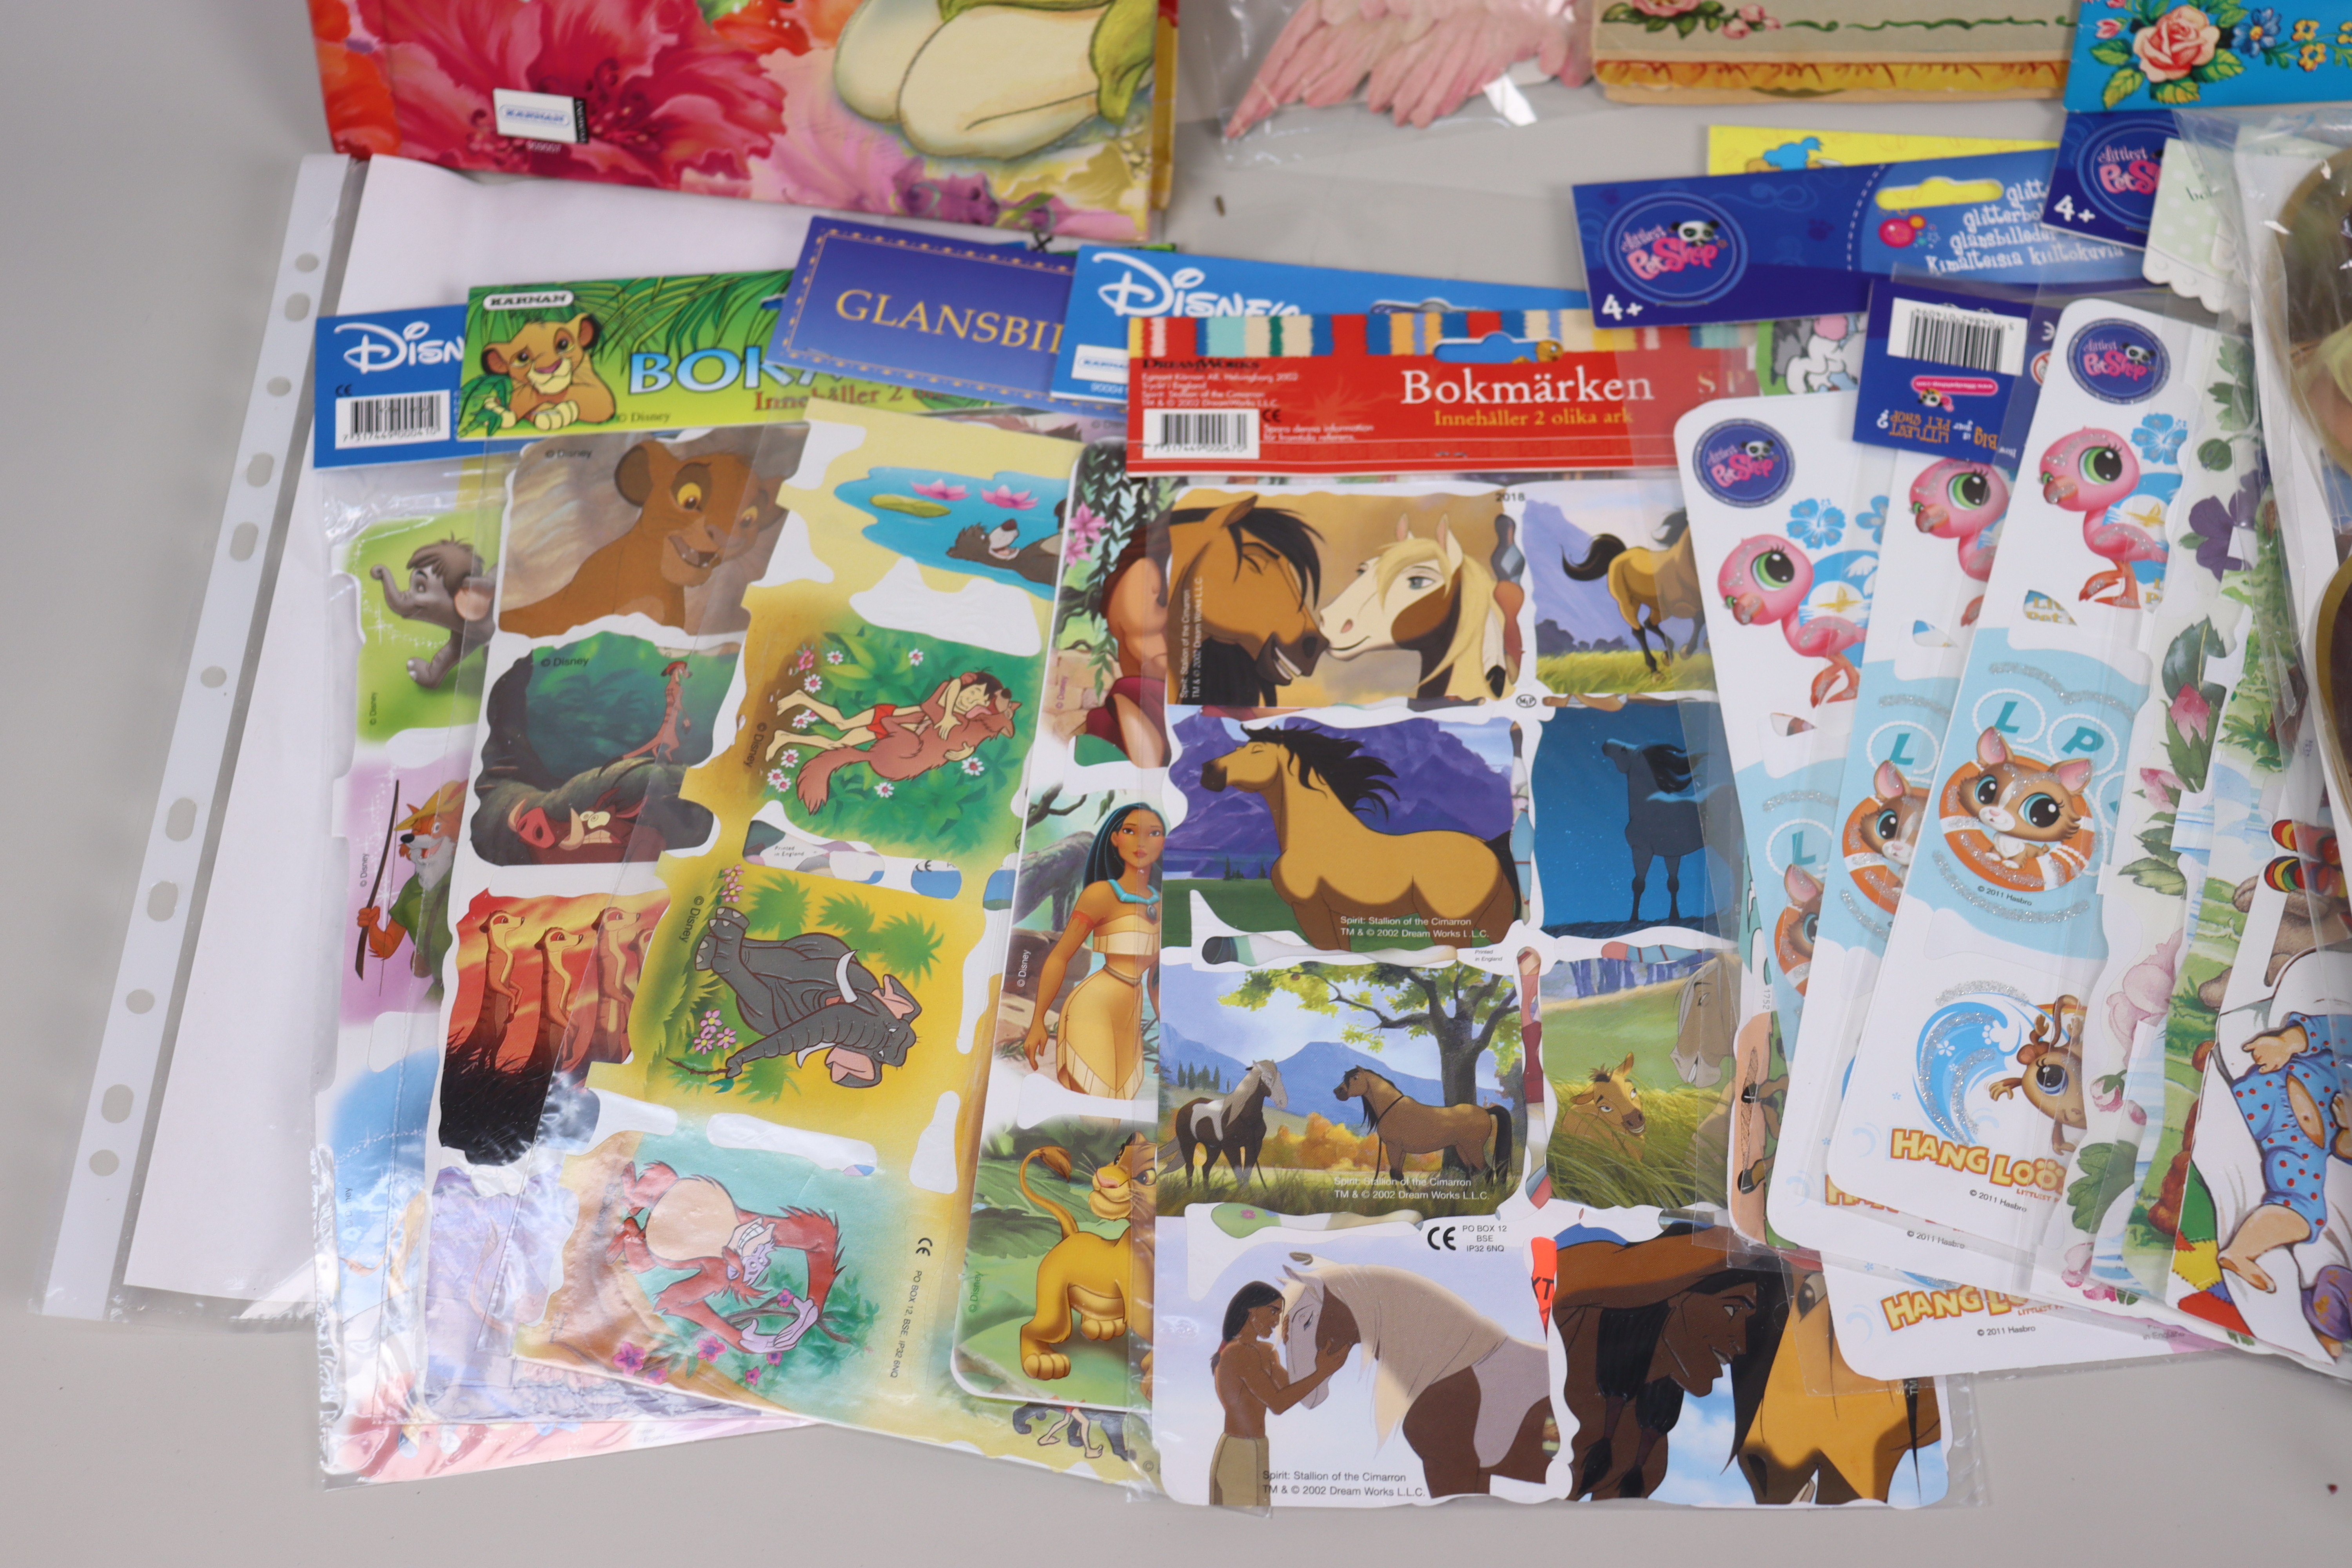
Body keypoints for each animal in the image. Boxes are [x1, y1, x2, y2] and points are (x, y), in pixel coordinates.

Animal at [1171, 1059, 1288, 1185]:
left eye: (1280, 1075)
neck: (1247, 1119)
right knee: (1190, 1167)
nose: (1283, 1102)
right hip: (1188, 1143)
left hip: (1213, 1147)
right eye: (1268, 1078)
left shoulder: (1254, 1145)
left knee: (1206, 1167)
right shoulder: (1230, 1146)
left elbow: (1247, 1174)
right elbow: (1239, 1174)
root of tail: (1186, 1107)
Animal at [1198, 725, 1520, 951]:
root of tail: (1489, 847)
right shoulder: (1337, 914)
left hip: (1447, 923)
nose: (1208, 771)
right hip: (1493, 919)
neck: (1319, 836)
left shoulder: (1310, 909)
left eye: (1257, 751)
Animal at [1332, 1067, 1513, 1185]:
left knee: (1487, 1171)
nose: (1337, 1092)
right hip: (1462, 1148)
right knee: (1472, 1172)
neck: (1392, 1107)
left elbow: (1396, 1174)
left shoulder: (1393, 1147)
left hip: (1473, 1148)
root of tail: (1485, 1111)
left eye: (1355, 1078)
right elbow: (1397, 1174)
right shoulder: (1400, 1150)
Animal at [1559, 509, 1707, 674]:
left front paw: (1702, 645)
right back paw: (1656, 671)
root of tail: (1620, 556)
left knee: (1649, 624)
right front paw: (1686, 652)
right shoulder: (1679, 607)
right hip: (1628, 603)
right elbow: (1699, 617)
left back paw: (1667, 656)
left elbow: (1701, 617)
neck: (1681, 567)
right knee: (1639, 630)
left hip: (1658, 608)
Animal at [1603, 737, 1713, 925]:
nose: (1605, 744)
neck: (1647, 803)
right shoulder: (1672, 854)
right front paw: (1674, 917)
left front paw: (1634, 919)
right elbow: (1673, 884)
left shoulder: (1642, 851)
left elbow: (1638, 884)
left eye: (1624, 750)